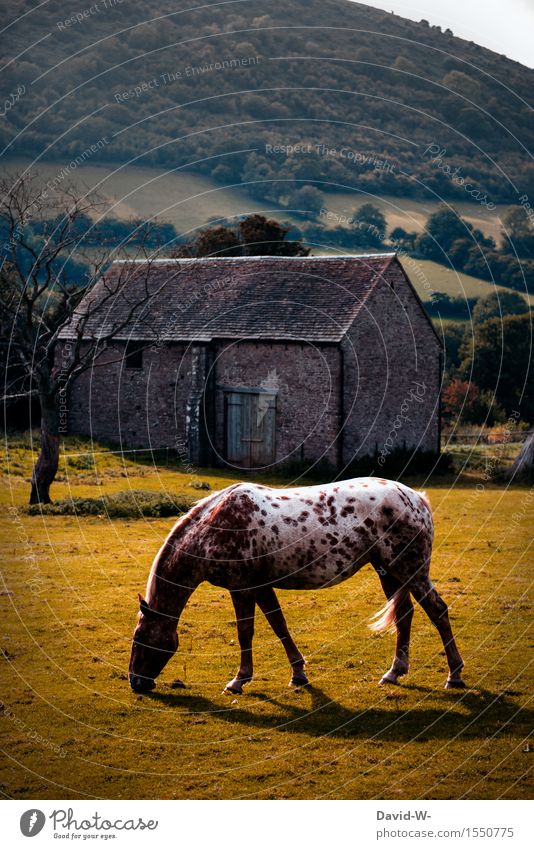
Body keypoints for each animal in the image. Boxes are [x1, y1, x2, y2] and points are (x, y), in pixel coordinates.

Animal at [129, 476, 464, 696]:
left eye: (140, 638)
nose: (135, 683)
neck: (214, 527)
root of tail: (416, 498)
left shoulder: (242, 588)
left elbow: (246, 631)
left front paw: (239, 680)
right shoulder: (261, 586)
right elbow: (279, 625)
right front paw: (299, 674)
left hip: (411, 571)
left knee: (438, 611)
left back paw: (454, 675)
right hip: (388, 572)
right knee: (405, 614)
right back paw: (394, 672)